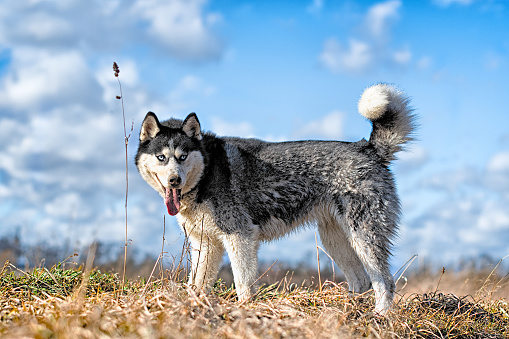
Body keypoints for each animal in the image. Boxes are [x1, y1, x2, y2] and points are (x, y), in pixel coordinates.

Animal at [135, 83, 412, 314]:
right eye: (161, 157)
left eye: (182, 157)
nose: (174, 180)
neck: (207, 170)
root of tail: (367, 148)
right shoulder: (205, 243)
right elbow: (197, 285)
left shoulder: (240, 237)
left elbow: (243, 286)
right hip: (336, 240)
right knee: (362, 281)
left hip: (364, 237)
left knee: (385, 282)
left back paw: (379, 317)